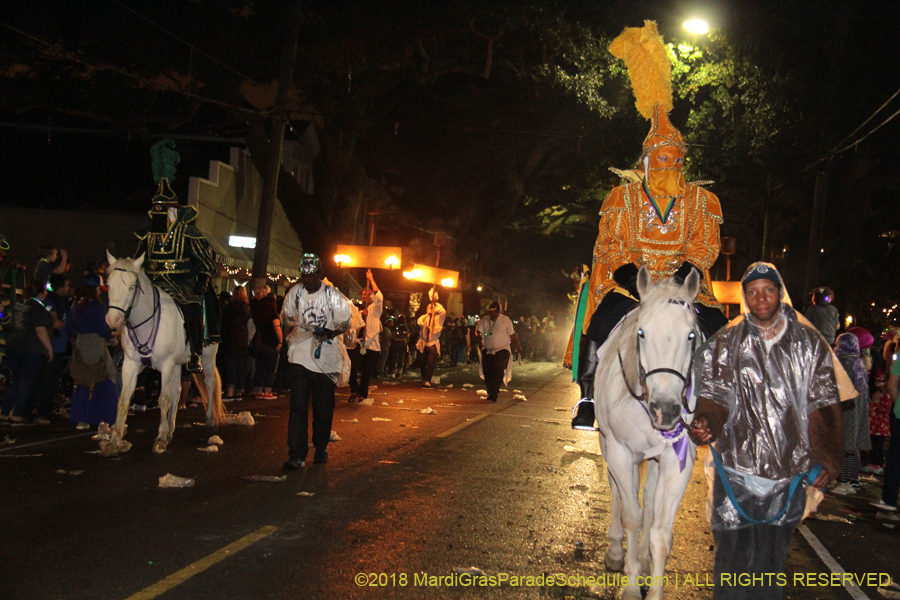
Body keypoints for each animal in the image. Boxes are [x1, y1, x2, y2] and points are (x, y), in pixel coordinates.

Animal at [103, 252, 224, 454]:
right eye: (109, 284)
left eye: (131, 286)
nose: (113, 320)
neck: (146, 322)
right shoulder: (131, 365)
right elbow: (124, 399)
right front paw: (113, 441)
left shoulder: (166, 365)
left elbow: (163, 399)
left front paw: (159, 439)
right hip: (177, 364)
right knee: (177, 391)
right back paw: (170, 429)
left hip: (207, 358)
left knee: (209, 384)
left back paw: (209, 420)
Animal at [596, 268, 704, 600]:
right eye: (641, 333)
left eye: (691, 335)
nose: (665, 411)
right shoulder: (621, 451)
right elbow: (631, 515)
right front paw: (630, 585)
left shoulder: (677, 460)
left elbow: (661, 533)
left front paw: (650, 581)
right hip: (608, 444)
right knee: (618, 492)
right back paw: (616, 552)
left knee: (647, 496)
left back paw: (642, 560)